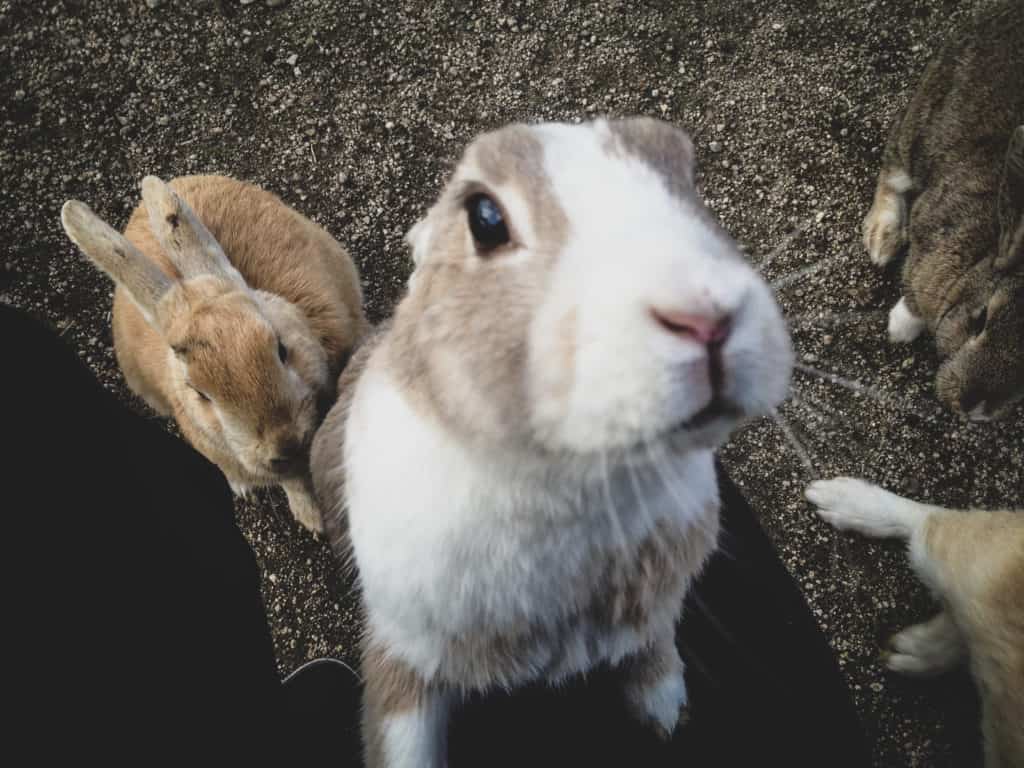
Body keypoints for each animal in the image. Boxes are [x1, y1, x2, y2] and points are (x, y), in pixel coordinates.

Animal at [310, 116, 794, 767]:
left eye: (687, 177)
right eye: (485, 218)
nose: (707, 315)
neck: (573, 485)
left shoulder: (653, 608)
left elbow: (654, 647)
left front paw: (664, 712)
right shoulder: (403, 648)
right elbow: (402, 739)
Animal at [861, 0, 1024, 420]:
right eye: (979, 319)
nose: (974, 407)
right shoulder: (929, 241)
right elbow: (912, 294)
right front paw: (898, 330)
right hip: (921, 121)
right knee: (892, 171)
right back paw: (882, 239)